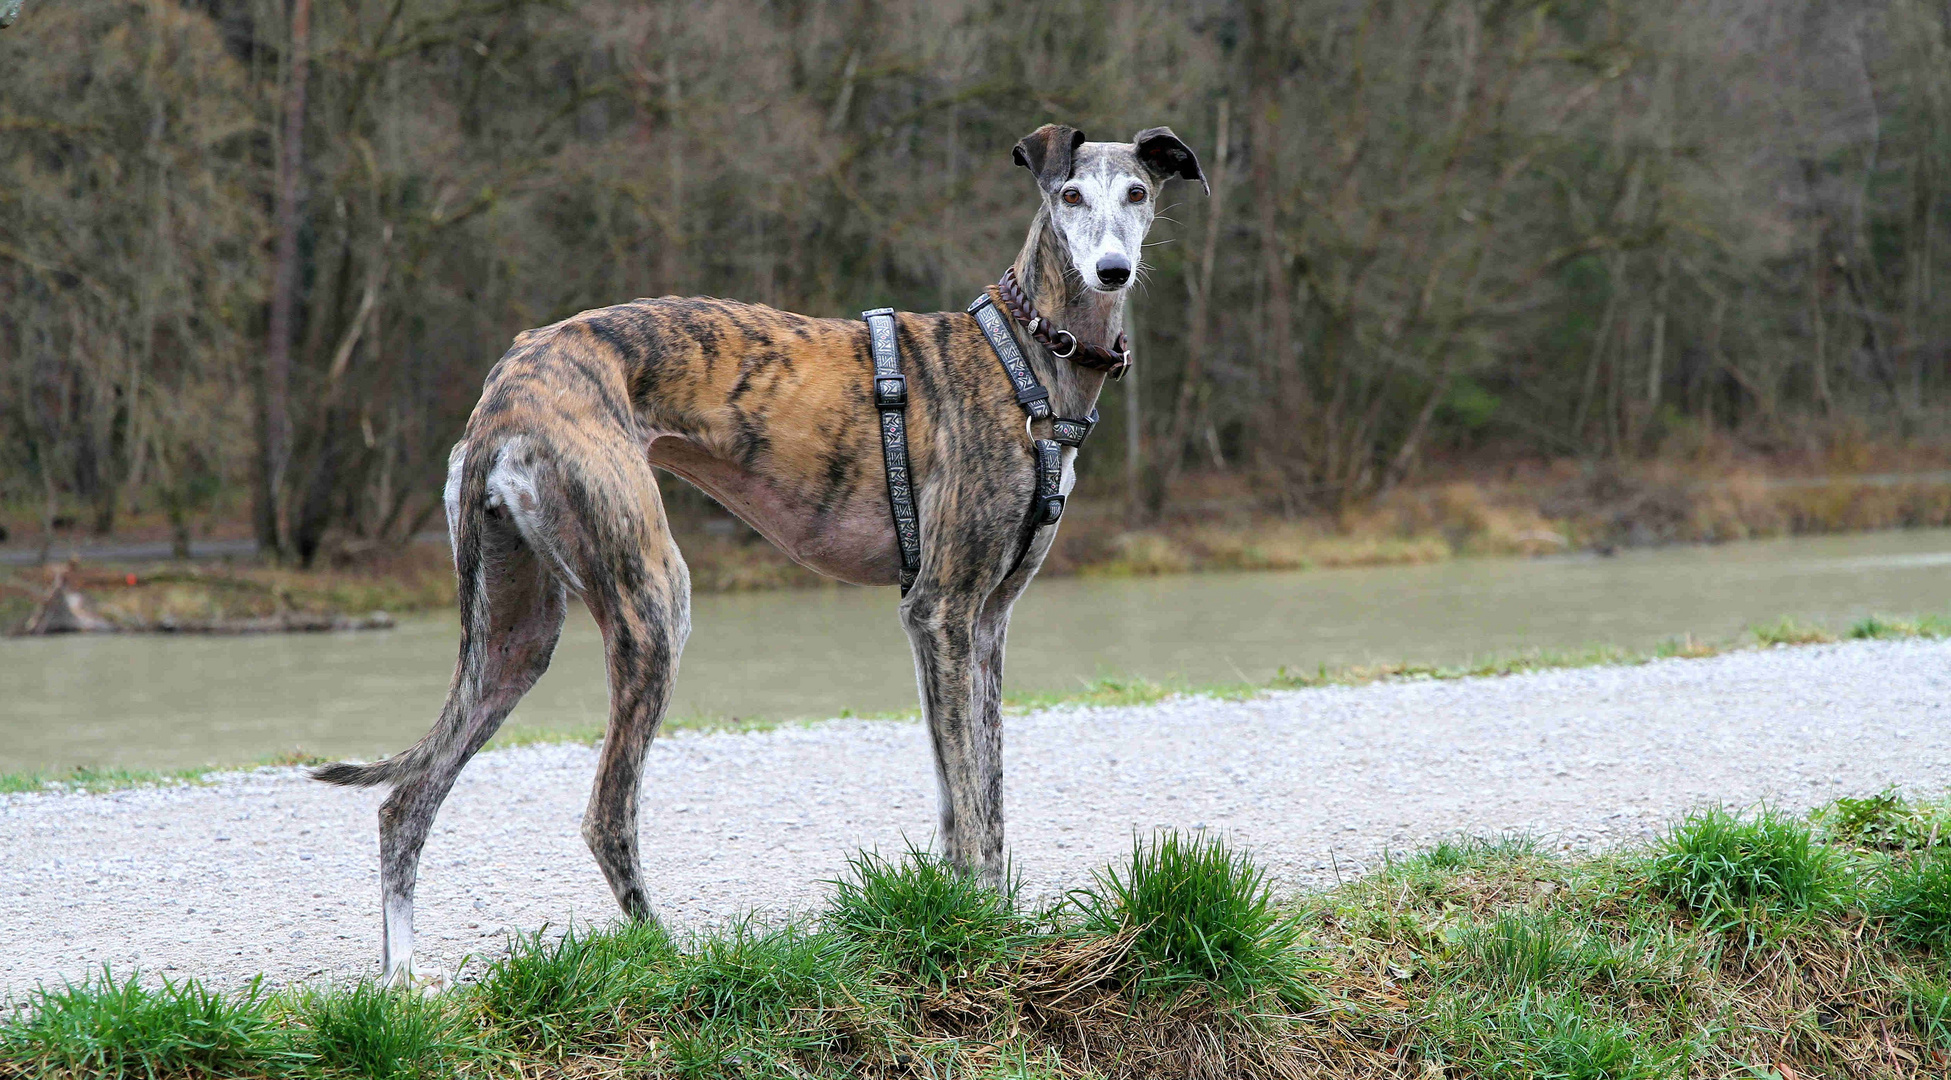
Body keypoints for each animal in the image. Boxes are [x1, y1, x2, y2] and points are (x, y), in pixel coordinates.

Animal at [316, 121, 1201, 978]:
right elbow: (974, 807)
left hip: (515, 632)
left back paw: (402, 979)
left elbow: (974, 798)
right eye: (1069, 195)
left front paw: (984, 921)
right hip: (652, 598)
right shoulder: (941, 610)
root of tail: (503, 389)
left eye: (1137, 192)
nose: (1112, 271)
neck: (1024, 354)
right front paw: (986, 938)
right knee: (606, 814)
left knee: (407, 800)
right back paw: (665, 958)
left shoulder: (983, 623)